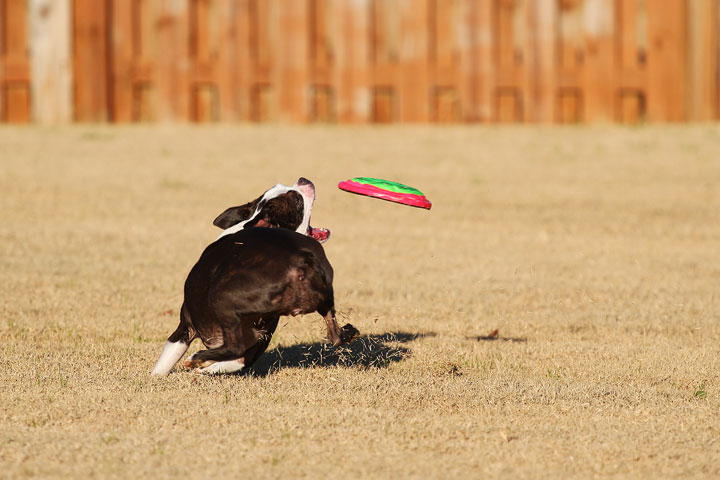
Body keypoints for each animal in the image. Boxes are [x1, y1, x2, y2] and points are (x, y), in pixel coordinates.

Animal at [150, 178, 358, 376]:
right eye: (297, 200)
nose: (303, 180)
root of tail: (300, 258)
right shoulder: (258, 339)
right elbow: (236, 362)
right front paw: (205, 368)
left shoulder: (185, 325)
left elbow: (163, 364)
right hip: (323, 297)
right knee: (335, 336)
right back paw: (350, 331)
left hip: (222, 297)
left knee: (234, 346)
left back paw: (196, 358)